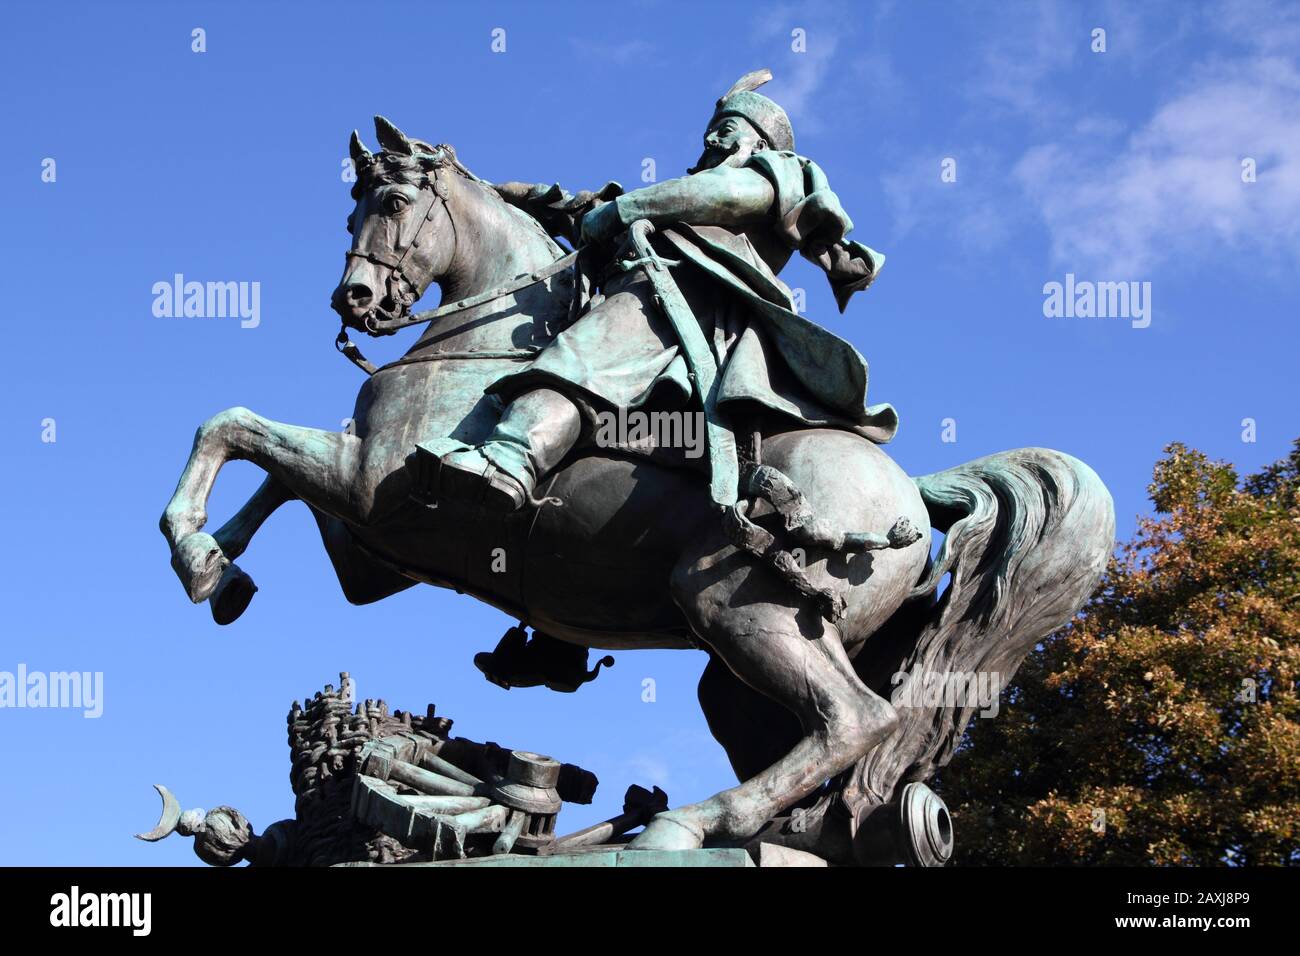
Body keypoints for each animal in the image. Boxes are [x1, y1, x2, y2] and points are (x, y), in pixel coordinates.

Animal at [159, 117, 1118, 858]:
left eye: (392, 204)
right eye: (351, 206)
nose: (358, 301)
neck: (484, 339)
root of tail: (917, 496)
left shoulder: (371, 489)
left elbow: (233, 427)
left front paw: (192, 548)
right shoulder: (372, 542)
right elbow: (268, 474)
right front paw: (220, 567)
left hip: (739, 609)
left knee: (859, 720)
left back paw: (688, 826)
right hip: (741, 672)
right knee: (829, 740)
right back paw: (782, 831)